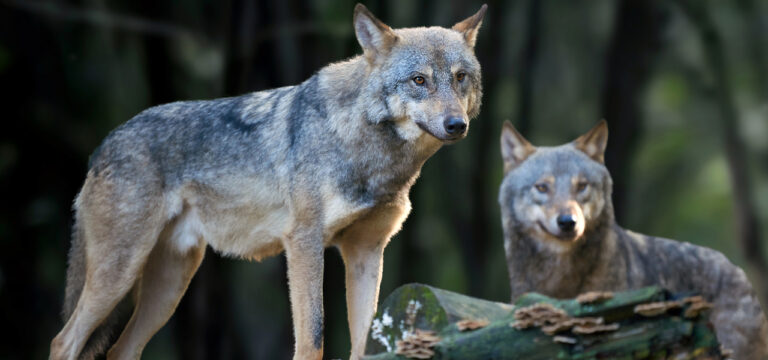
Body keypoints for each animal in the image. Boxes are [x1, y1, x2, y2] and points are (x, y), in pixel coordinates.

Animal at [49, 3, 486, 360]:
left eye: (460, 77)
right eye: (419, 80)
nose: (456, 125)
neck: (370, 151)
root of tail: (103, 145)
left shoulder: (366, 252)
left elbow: (363, 342)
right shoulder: (304, 243)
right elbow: (313, 339)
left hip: (170, 286)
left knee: (119, 350)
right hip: (119, 274)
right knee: (63, 341)